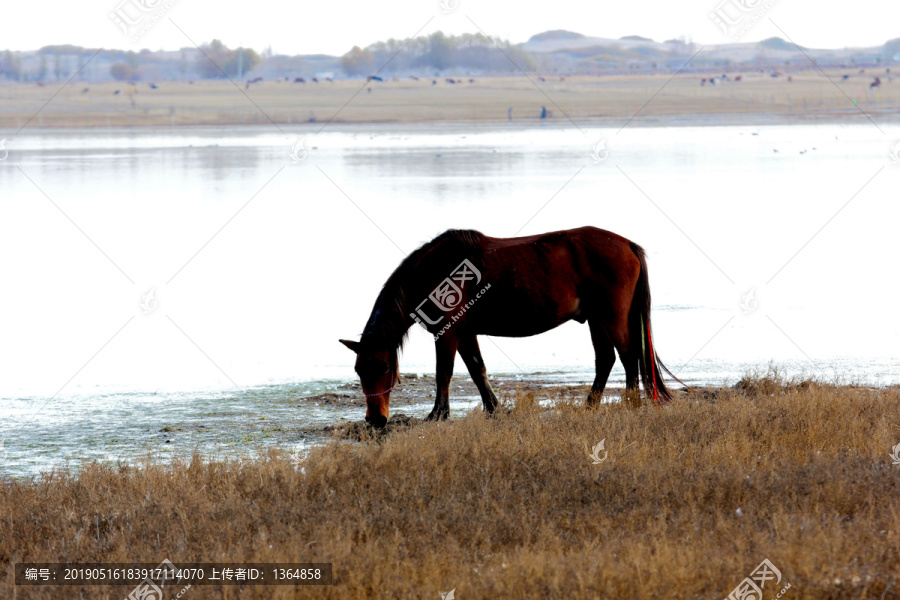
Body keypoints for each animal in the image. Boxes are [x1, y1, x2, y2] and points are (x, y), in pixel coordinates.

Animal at [342, 226, 680, 426]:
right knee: (606, 359)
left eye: (384, 368)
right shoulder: (466, 333)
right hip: (596, 319)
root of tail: (627, 244)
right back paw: (590, 405)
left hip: (611, 316)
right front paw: (493, 408)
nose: (375, 419)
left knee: (628, 357)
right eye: (359, 370)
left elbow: (444, 373)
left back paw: (630, 404)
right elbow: (477, 369)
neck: (433, 273)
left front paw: (438, 414)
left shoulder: (448, 333)